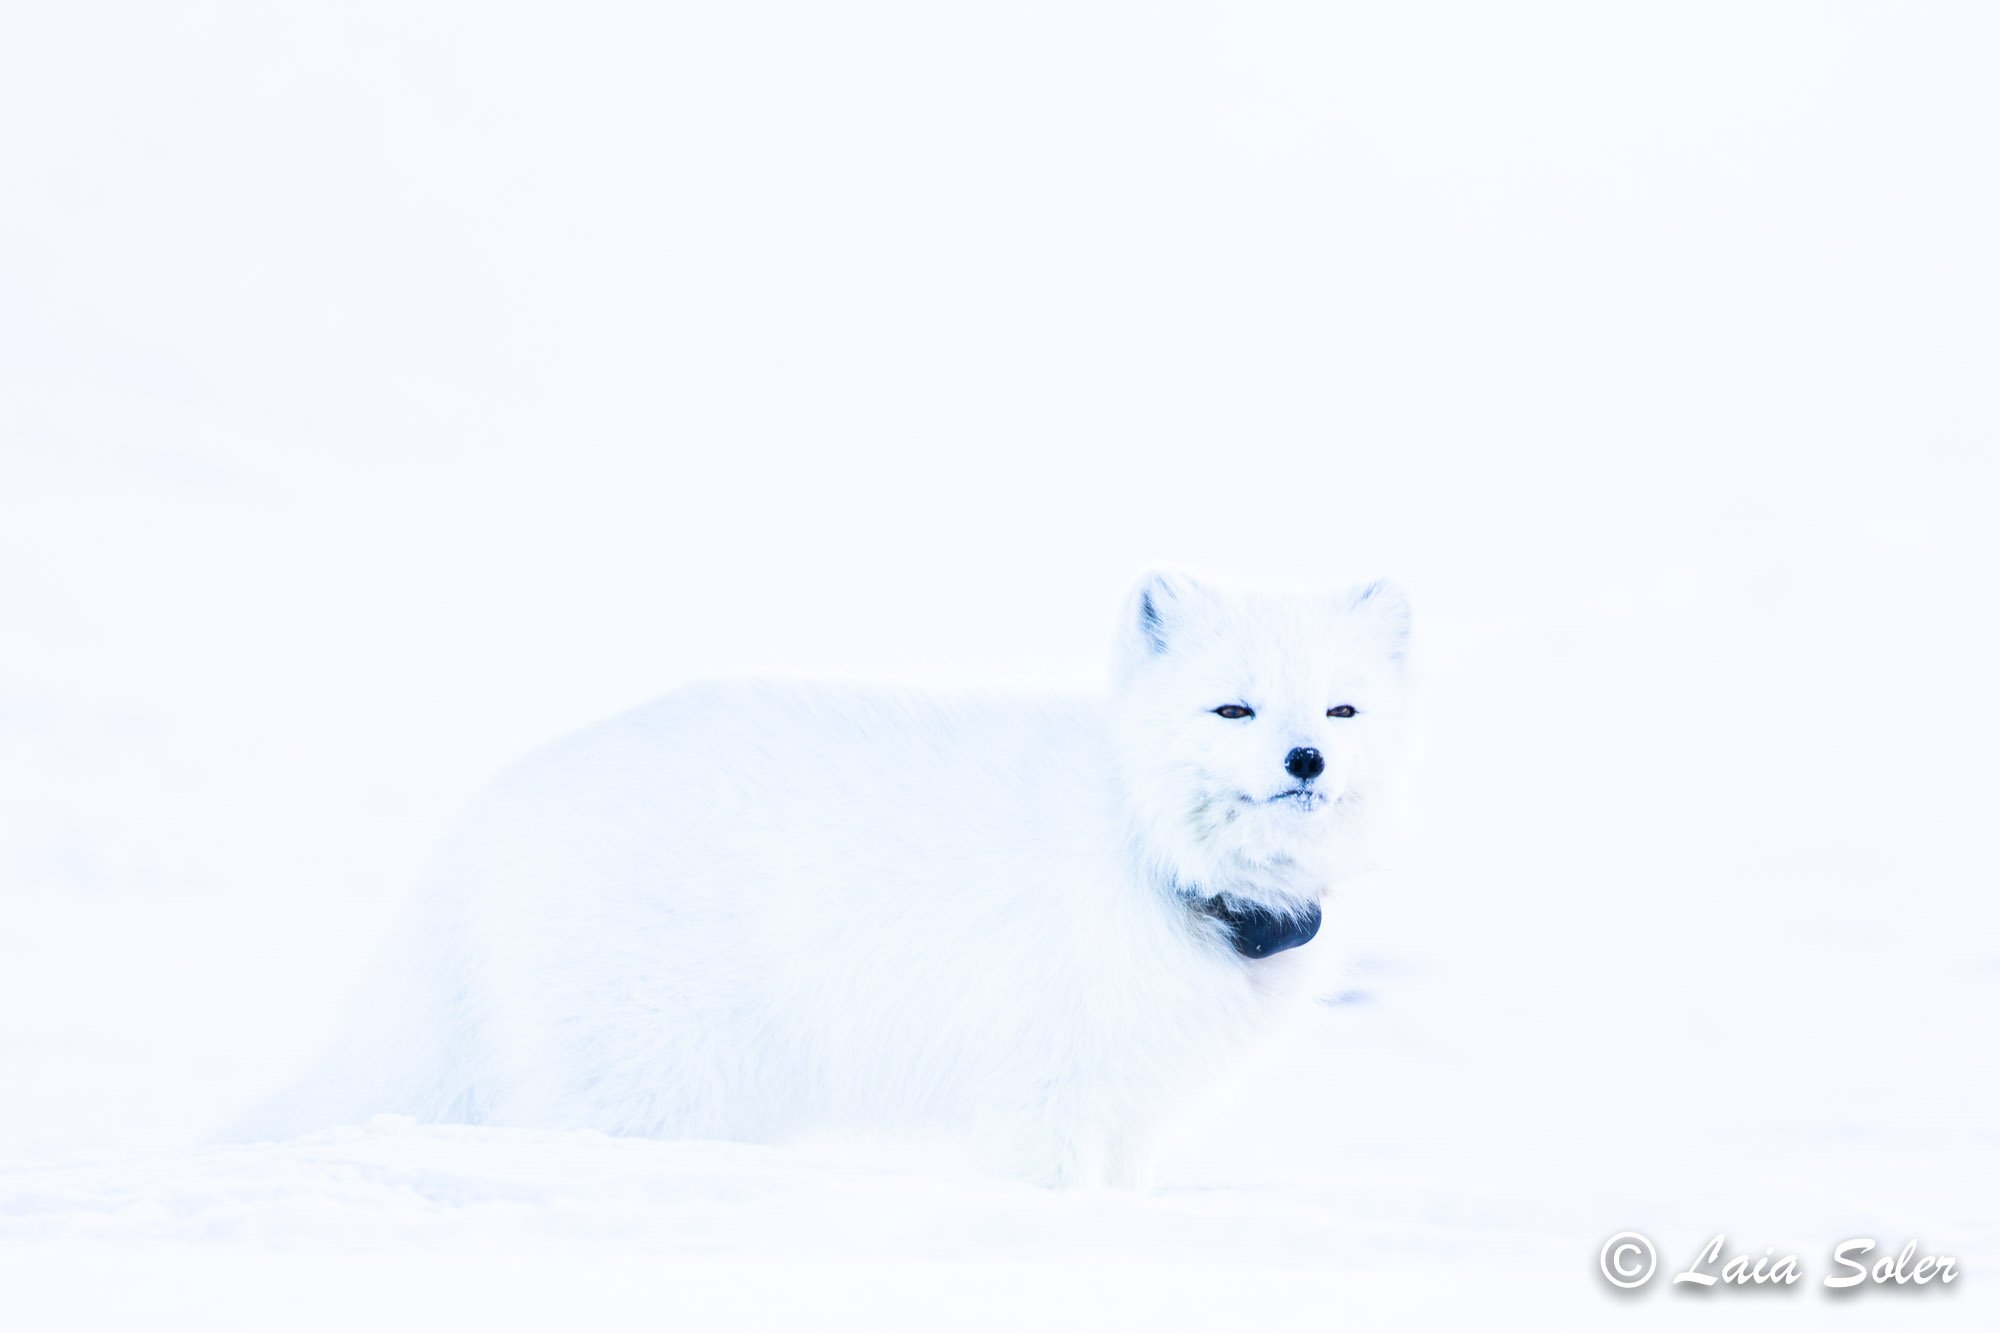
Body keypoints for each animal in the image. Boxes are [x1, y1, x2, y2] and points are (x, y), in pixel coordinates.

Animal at [269, 572, 1414, 1187]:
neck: (1150, 851)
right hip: (655, 1087)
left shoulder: (1130, 1107)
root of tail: (491, 812)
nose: (1305, 760)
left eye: (1340, 710)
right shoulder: (1041, 1091)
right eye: (1233, 709)